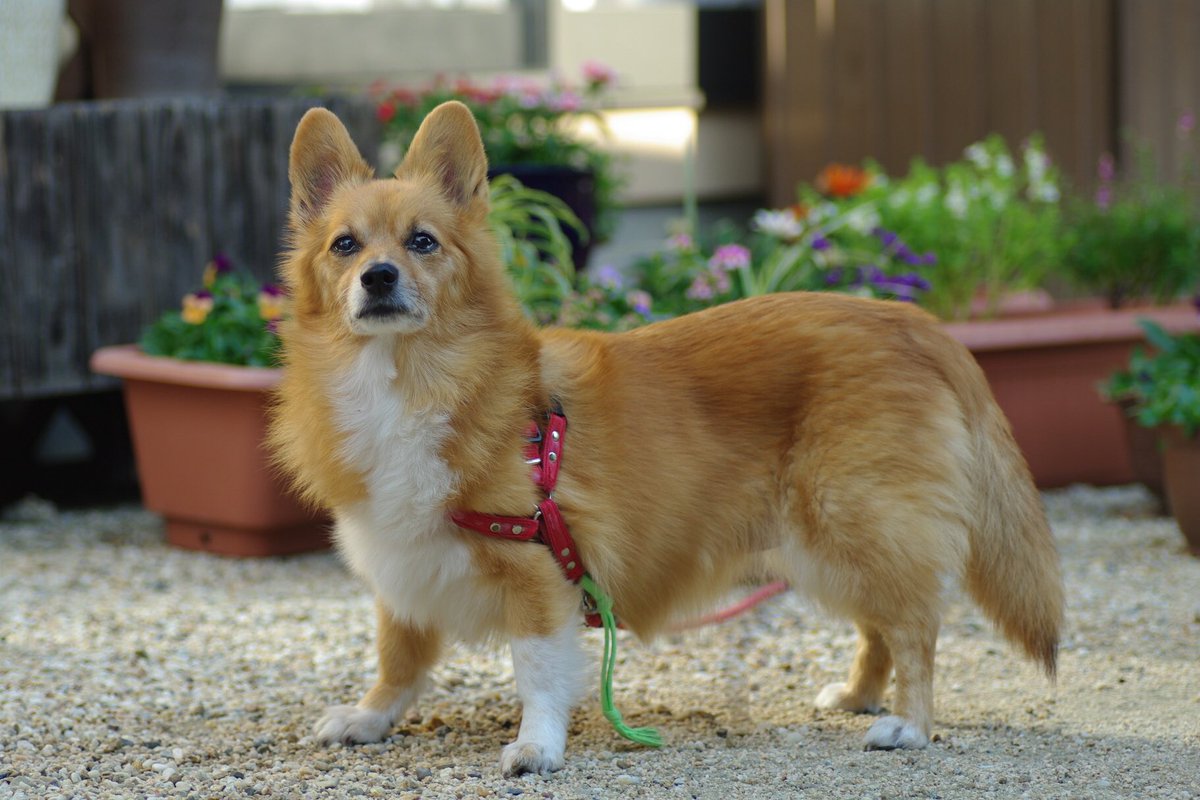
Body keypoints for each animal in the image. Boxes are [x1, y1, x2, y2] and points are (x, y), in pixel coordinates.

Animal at [267, 98, 1065, 777]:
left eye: (422, 242)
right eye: (345, 245)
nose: (378, 277)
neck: (408, 379)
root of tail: (917, 324)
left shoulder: (536, 569)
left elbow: (537, 672)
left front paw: (537, 747)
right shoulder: (403, 564)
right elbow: (398, 658)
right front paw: (371, 718)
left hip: (853, 521)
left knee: (915, 626)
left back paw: (909, 724)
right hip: (825, 544)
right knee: (880, 626)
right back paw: (859, 696)